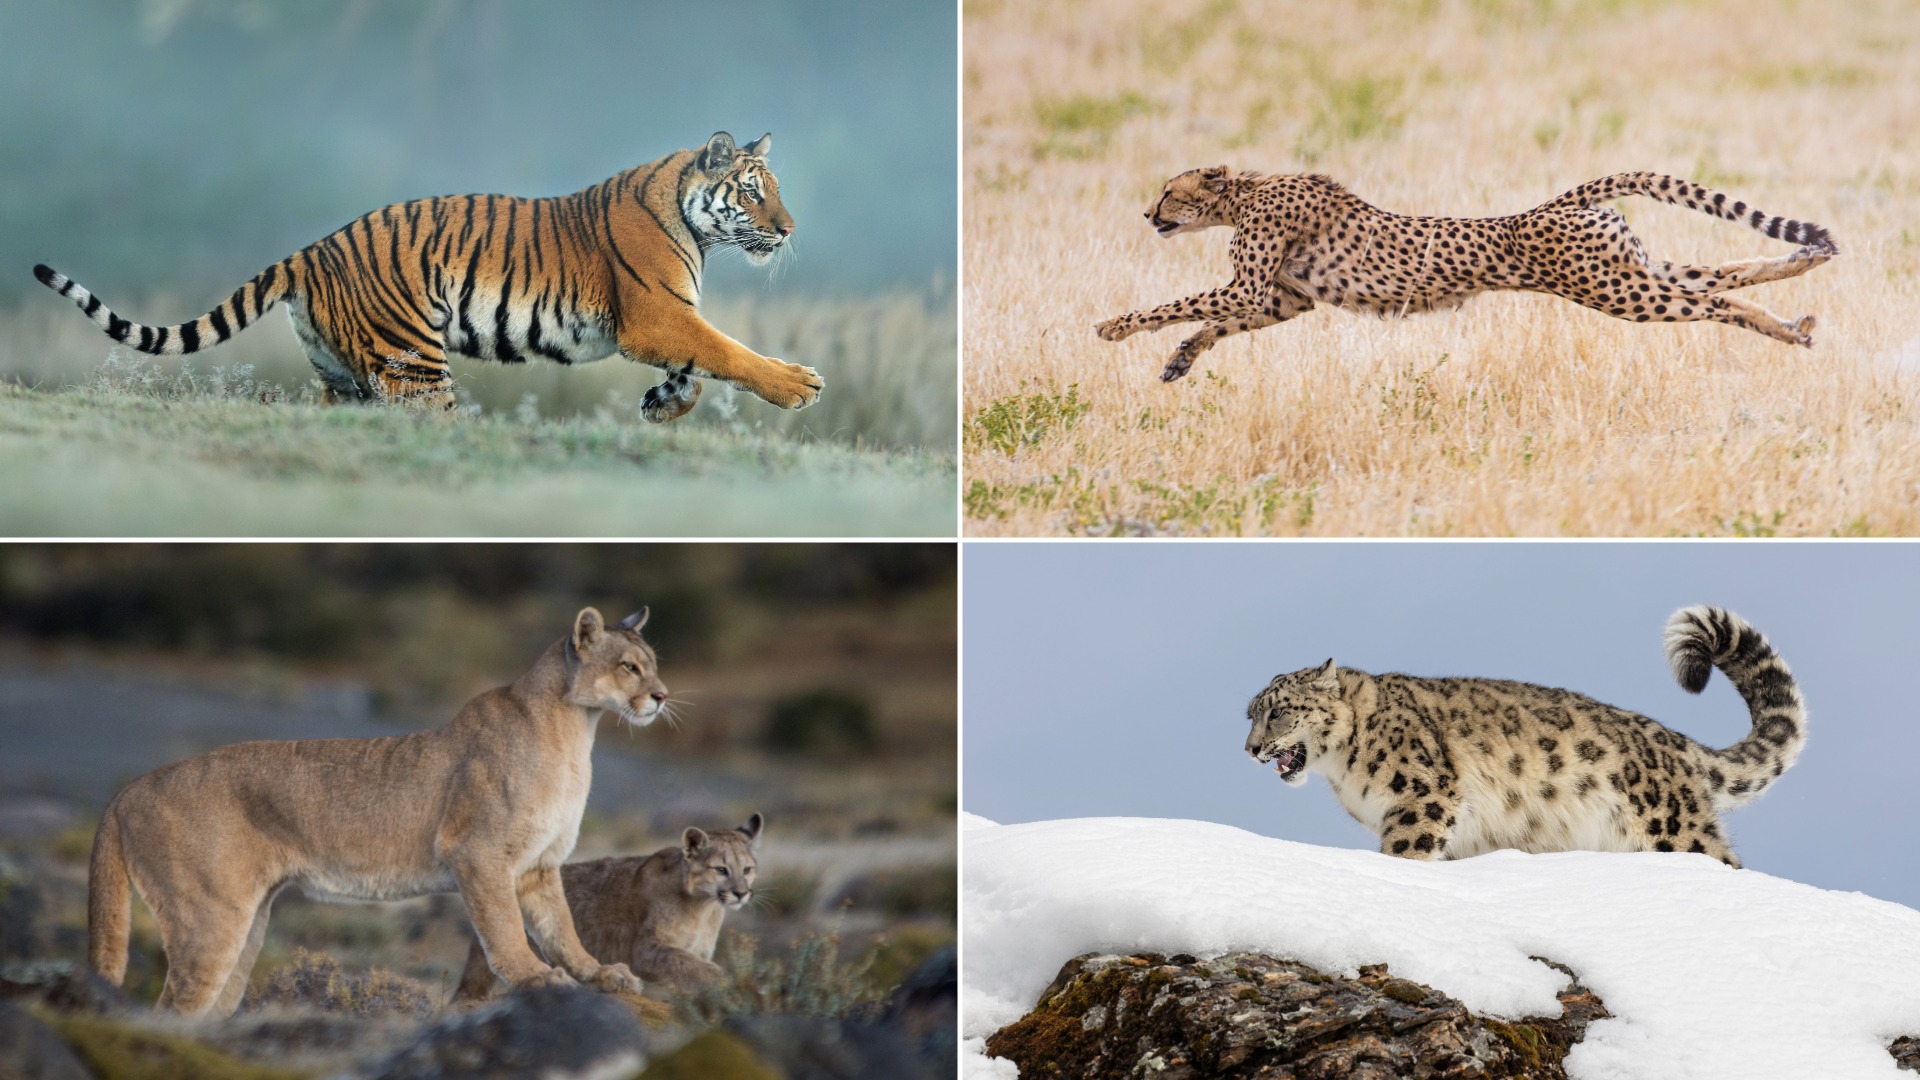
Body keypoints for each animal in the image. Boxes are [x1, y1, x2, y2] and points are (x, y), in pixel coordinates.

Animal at [31, 131, 822, 422]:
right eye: (755, 192)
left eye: (777, 191)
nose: (789, 230)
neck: (696, 224)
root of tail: (315, 248)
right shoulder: (655, 315)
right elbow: (728, 351)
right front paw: (798, 386)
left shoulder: (664, 323)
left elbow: (702, 365)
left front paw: (664, 403)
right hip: (412, 364)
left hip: (343, 372)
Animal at [86, 606, 665, 1016]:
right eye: (629, 667)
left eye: (654, 665)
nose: (661, 696)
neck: (575, 731)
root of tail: (129, 788)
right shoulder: (477, 852)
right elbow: (504, 929)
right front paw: (535, 977)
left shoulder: (539, 865)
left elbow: (560, 927)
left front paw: (599, 973)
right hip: (209, 920)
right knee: (169, 1013)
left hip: (245, 925)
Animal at [450, 813, 764, 1003]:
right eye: (721, 869)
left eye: (747, 869)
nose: (741, 893)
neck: (704, 906)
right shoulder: (647, 948)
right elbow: (689, 964)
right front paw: (730, 981)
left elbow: (691, 969)